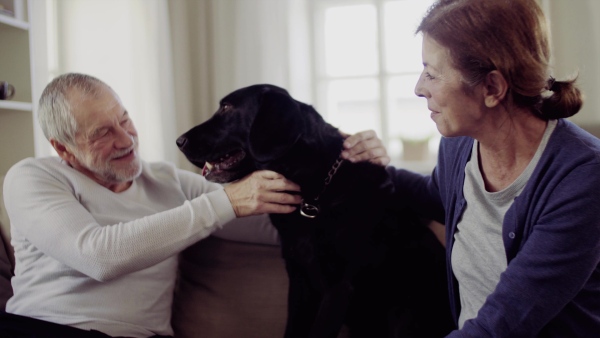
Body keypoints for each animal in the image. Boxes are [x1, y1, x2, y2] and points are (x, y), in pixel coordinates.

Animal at [176, 85, 452, 338]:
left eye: (226, 108)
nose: (178, 141)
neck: (313, 191)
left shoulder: (338, 287)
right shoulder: (299, 279)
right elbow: (292, 330)